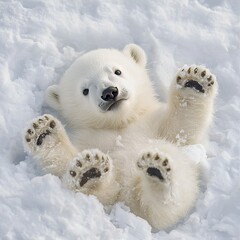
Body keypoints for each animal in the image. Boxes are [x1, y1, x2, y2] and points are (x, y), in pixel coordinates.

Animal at [23, 44, 218, 230]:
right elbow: (64, 165)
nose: (109, 92)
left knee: (169, 198)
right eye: (85, 90)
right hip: (112, 198)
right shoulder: (88, 137)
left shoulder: (152, 122)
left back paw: (155, 170)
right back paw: (90, 171)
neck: (121, 124)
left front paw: (194, 81)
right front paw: (43, 132)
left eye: (117, 71)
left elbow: (180, 128)